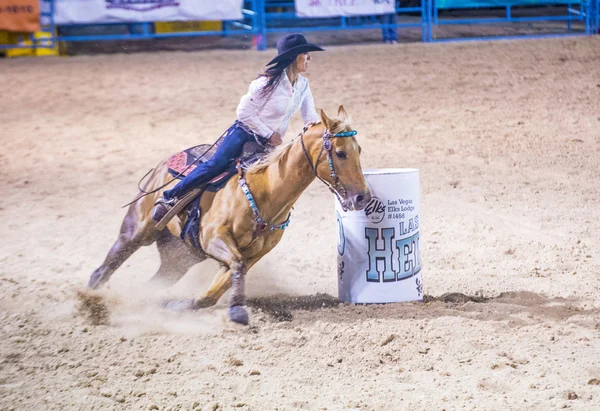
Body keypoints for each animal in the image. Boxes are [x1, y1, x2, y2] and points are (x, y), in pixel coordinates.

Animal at [87, 106, 370, 326]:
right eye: (340, 152)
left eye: (359, 150)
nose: (362, 197)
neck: (265, 191)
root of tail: (163, 164)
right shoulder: (215, 239)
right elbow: (236, 266)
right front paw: (237, 312)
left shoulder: (254, 255)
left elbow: (215, 291)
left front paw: (178, 306)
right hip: (136, 232)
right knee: (103, 270)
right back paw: (91, 302)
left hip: (179, 259)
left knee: (154, 282)